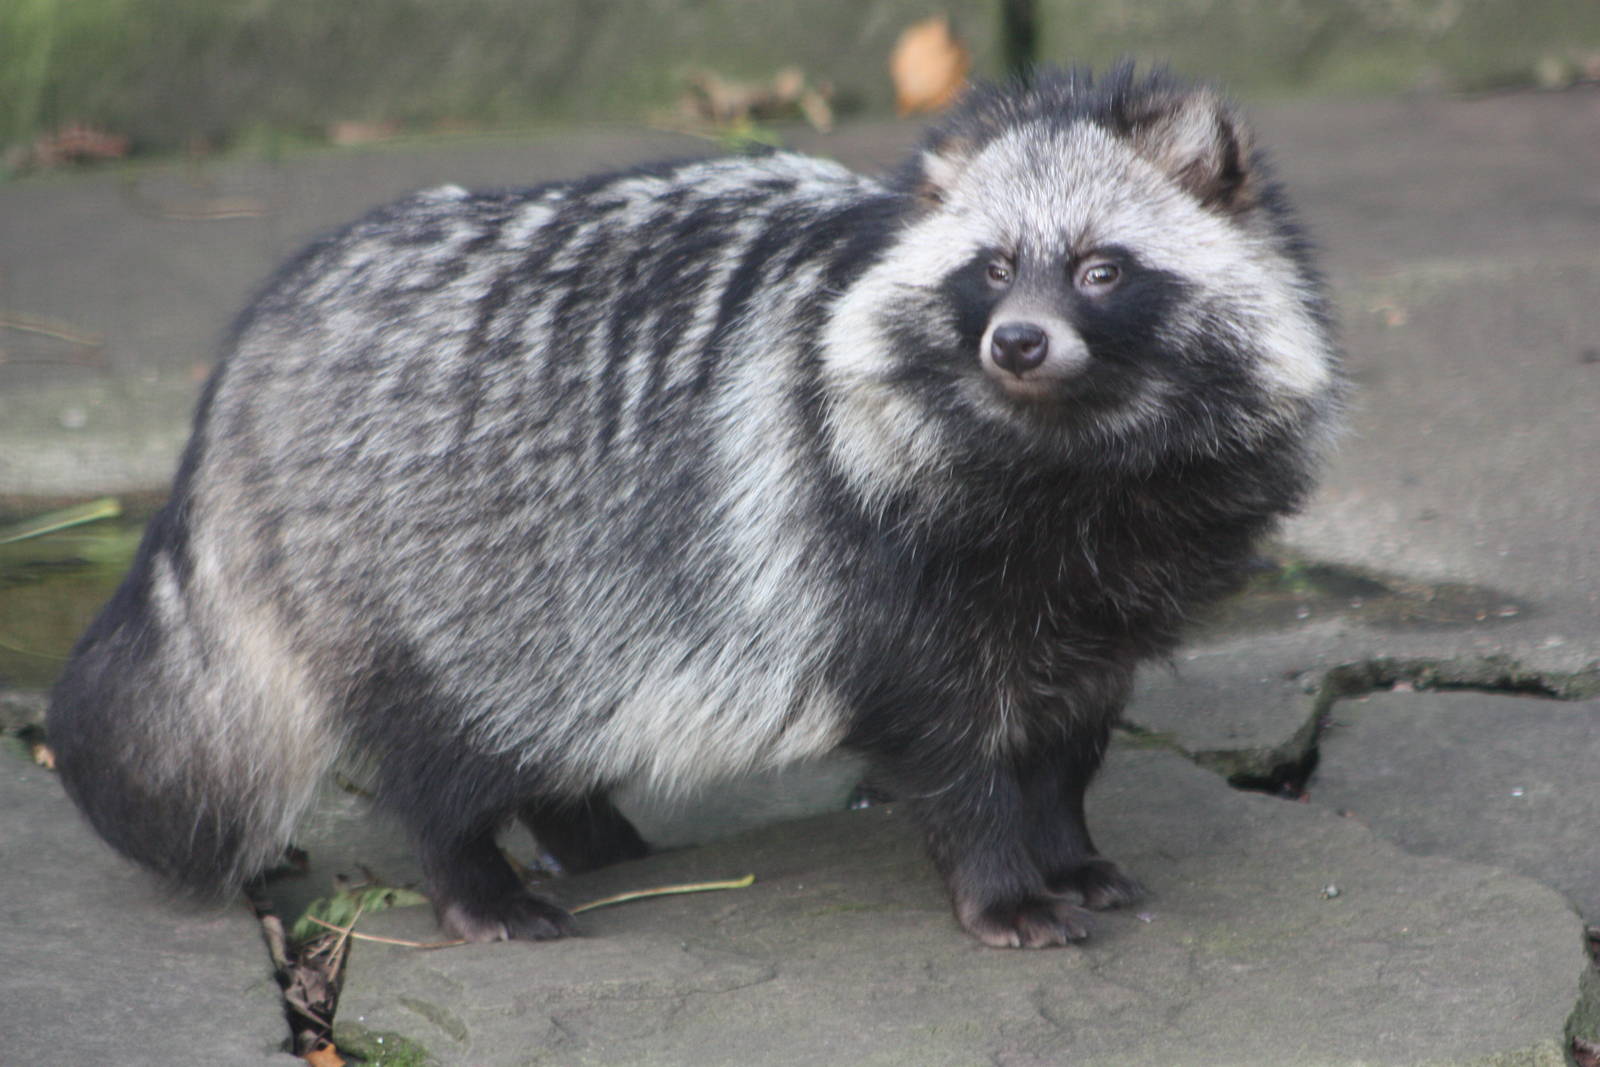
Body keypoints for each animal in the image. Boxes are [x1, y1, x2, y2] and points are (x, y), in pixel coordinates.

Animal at [48, 66, 1339, 949]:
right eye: (987, 268)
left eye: (1099, 268)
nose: (1015, 342)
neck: (1066, 459)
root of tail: (275, 318)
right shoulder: (869, 546)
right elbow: (944, 735)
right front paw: (1000, 874)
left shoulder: (1108, 582)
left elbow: (1067, 730)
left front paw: (1066, 844)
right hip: (415, 565)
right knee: (435, 740)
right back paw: (474, 874)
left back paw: (578, 822)